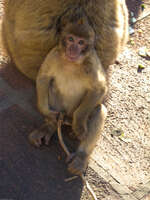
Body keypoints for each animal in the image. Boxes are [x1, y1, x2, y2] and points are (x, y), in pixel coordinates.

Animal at [28, 19, 108, 175]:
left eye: (81, 42)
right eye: (71, 39)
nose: (73, 49)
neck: (72, 63)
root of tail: (66, 119)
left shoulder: (91, 63)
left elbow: (99, 89)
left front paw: (79, 125)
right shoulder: (54, 54)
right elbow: (44, 77)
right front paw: (46, 112)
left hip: (74, 115)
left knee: (99, 110)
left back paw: (81, 157)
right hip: (61, 111)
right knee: (51, 86)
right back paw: (50, 126)